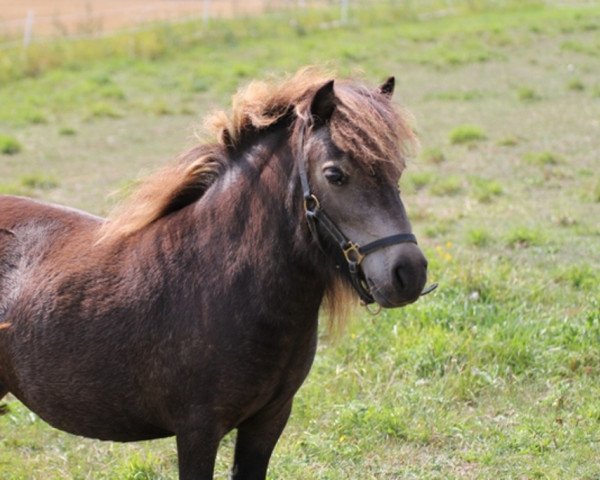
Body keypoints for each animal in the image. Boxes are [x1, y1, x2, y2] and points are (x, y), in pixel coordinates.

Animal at [0, 68, 432, 480]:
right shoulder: (197, 430)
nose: (408, 273)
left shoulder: (269, 419)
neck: (224, 280)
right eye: (335, 175)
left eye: (398, 171)